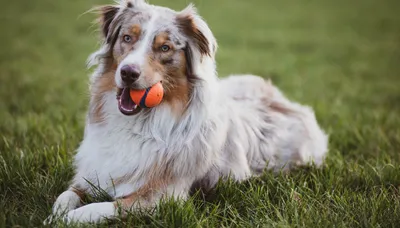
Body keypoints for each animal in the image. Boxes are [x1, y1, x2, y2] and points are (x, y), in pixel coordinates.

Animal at [47, 0, 328, 224]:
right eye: (127, 38)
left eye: (165, 48)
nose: (128, 73)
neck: (140, 123)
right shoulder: (93, 174)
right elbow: (66, 194)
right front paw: (56, 213)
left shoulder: (163, 197)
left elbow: (106, 206)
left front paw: (69, 218)